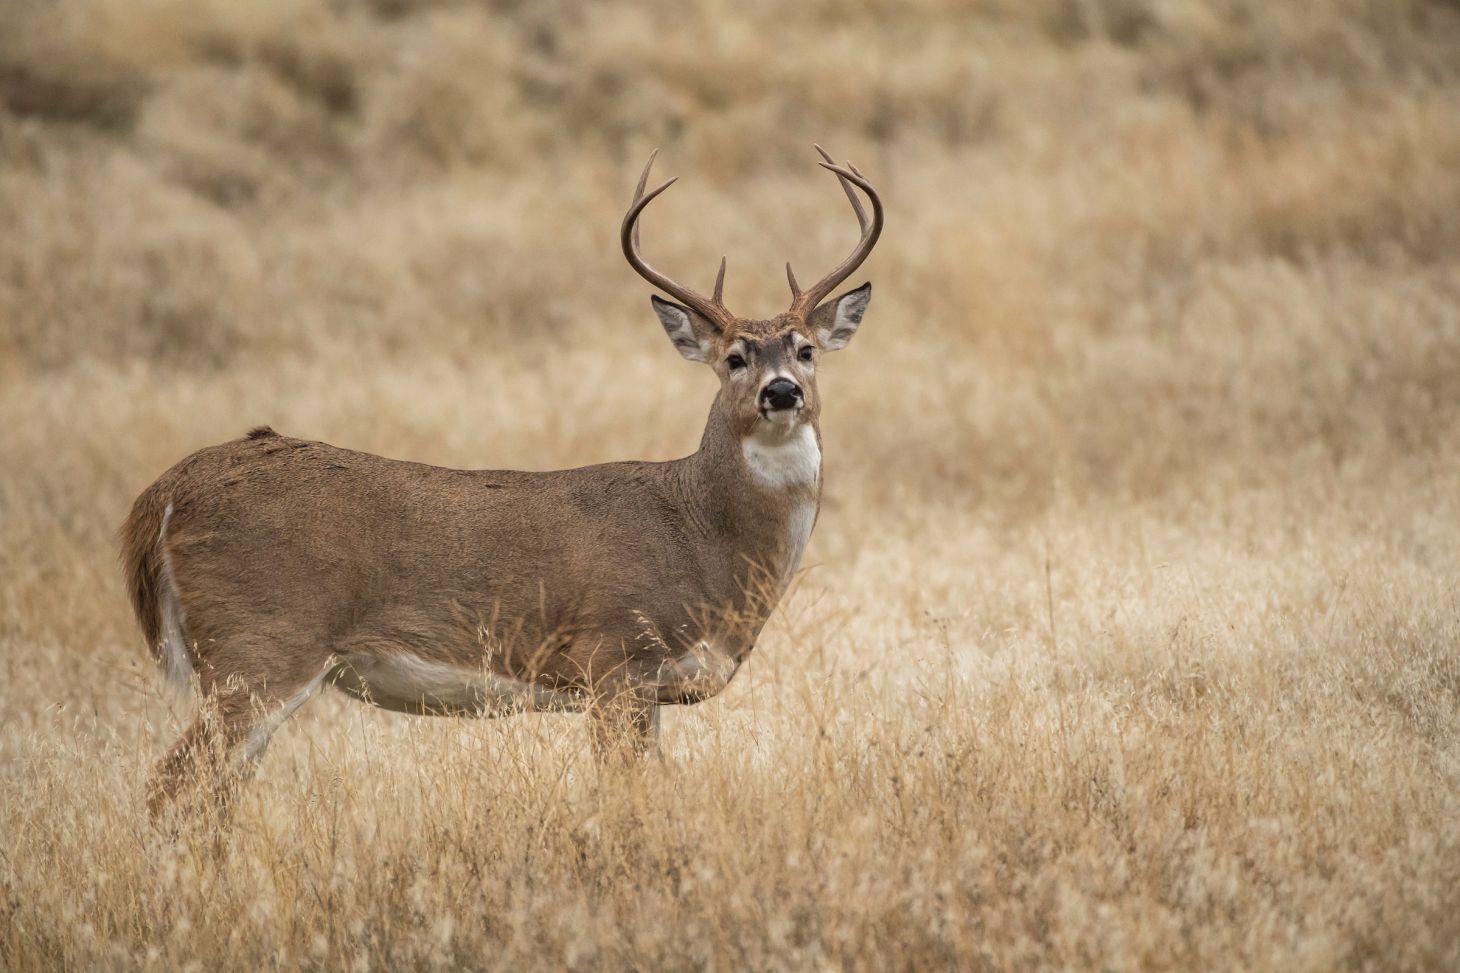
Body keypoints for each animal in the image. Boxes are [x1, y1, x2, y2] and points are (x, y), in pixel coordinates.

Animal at [120, 146, 883, 821]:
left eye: (806, 350)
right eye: (733, 358)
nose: (781, 392)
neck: (702, 537)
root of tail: (163, 493)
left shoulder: (644, 688)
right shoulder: (612, 657)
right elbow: (626, 795)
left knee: (216, 799)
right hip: (260, 646)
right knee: (164, 787)